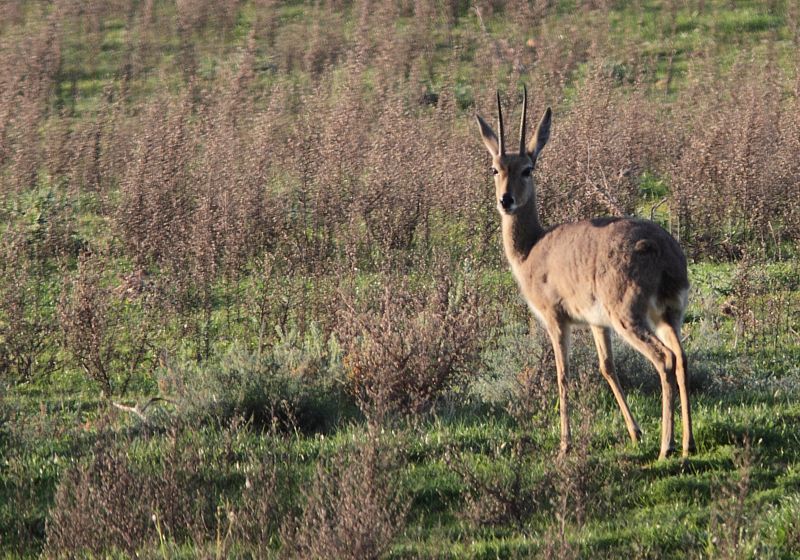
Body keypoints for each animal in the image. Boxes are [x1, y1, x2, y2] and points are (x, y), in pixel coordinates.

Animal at [478, 85, 696, 458]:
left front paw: (565, 444)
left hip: (630, 317)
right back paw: (687, 443)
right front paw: (635, 431)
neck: (532, 249)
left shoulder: (556, 319)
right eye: (495, 168)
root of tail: (664, 252)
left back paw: (666, 446)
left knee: (664, 359)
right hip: (669, 315)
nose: (506, 200)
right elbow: (606, 367)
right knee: (681, 358)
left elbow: (562, 373)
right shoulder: (597, 323)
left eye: (528, 168)